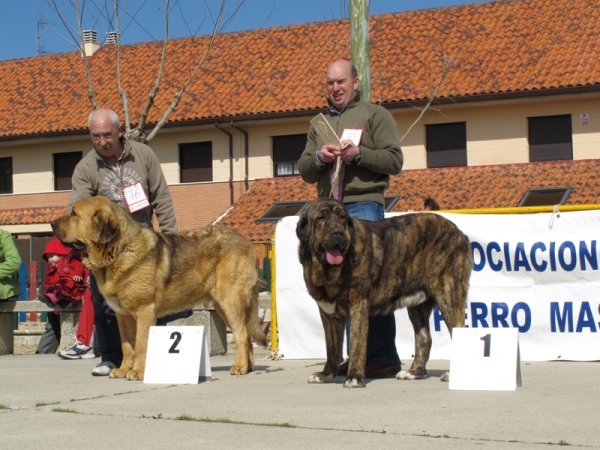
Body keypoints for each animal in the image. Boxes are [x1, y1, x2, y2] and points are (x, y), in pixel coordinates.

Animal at [52, 197, 266, 380]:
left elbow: (140, 344)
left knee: (242, 334)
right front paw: (122, 370)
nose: (52, 223)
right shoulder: (122, 316)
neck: (118, 251)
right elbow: (127, 346)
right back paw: (248, 366)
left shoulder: (144, 311)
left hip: (229, 301)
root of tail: (247, 242)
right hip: (223, 307)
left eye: (74, 214)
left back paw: (239, 366)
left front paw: (137, 372)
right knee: (245, 335)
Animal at [296, 199, 474, 388]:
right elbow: (332, 348)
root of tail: (459, 233)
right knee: (424, 337)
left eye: (342, 217)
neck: (330, 271)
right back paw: (413, 372)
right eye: (320, 218)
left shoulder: (358, 305)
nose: (338, 233)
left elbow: (356, 344)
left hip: (448, 294)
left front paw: (354, 376)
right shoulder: (328, 312)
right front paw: (326, 374)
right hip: (417, 305)